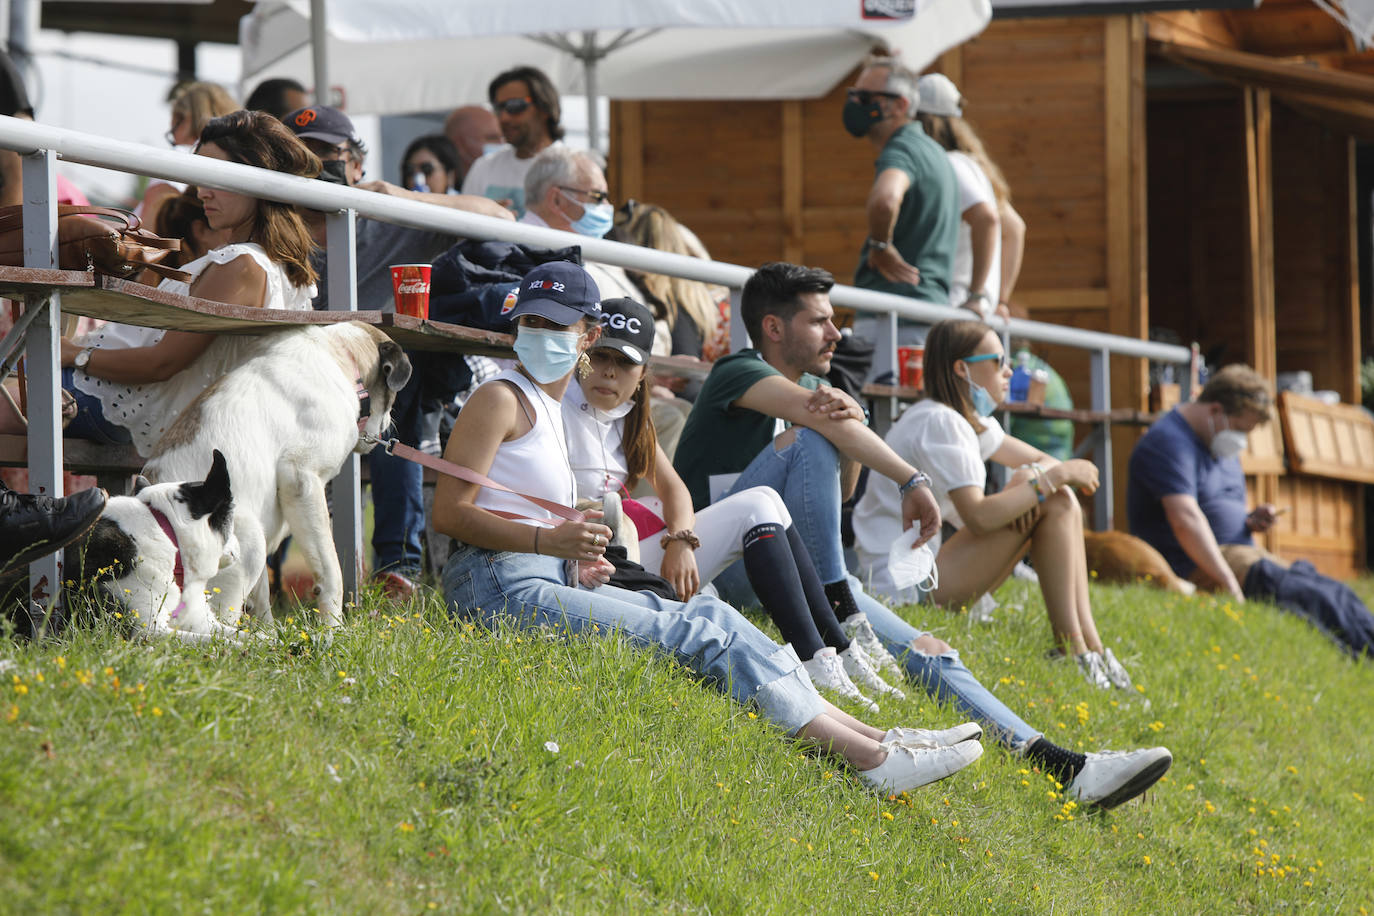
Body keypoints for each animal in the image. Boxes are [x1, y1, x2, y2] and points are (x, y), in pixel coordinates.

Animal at [65, 447, 244, 642]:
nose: (240, 547)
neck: (169, 536)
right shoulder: (149, 631)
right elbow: (223, 641)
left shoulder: (203, 623)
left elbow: (250, 636)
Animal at [144, 322, 414, 631]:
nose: (389, 423)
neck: (341, 354)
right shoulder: (301, 478)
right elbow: (330, 570)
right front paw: (333, 628)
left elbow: (261, 594)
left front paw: (270, 631)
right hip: (246, 533)